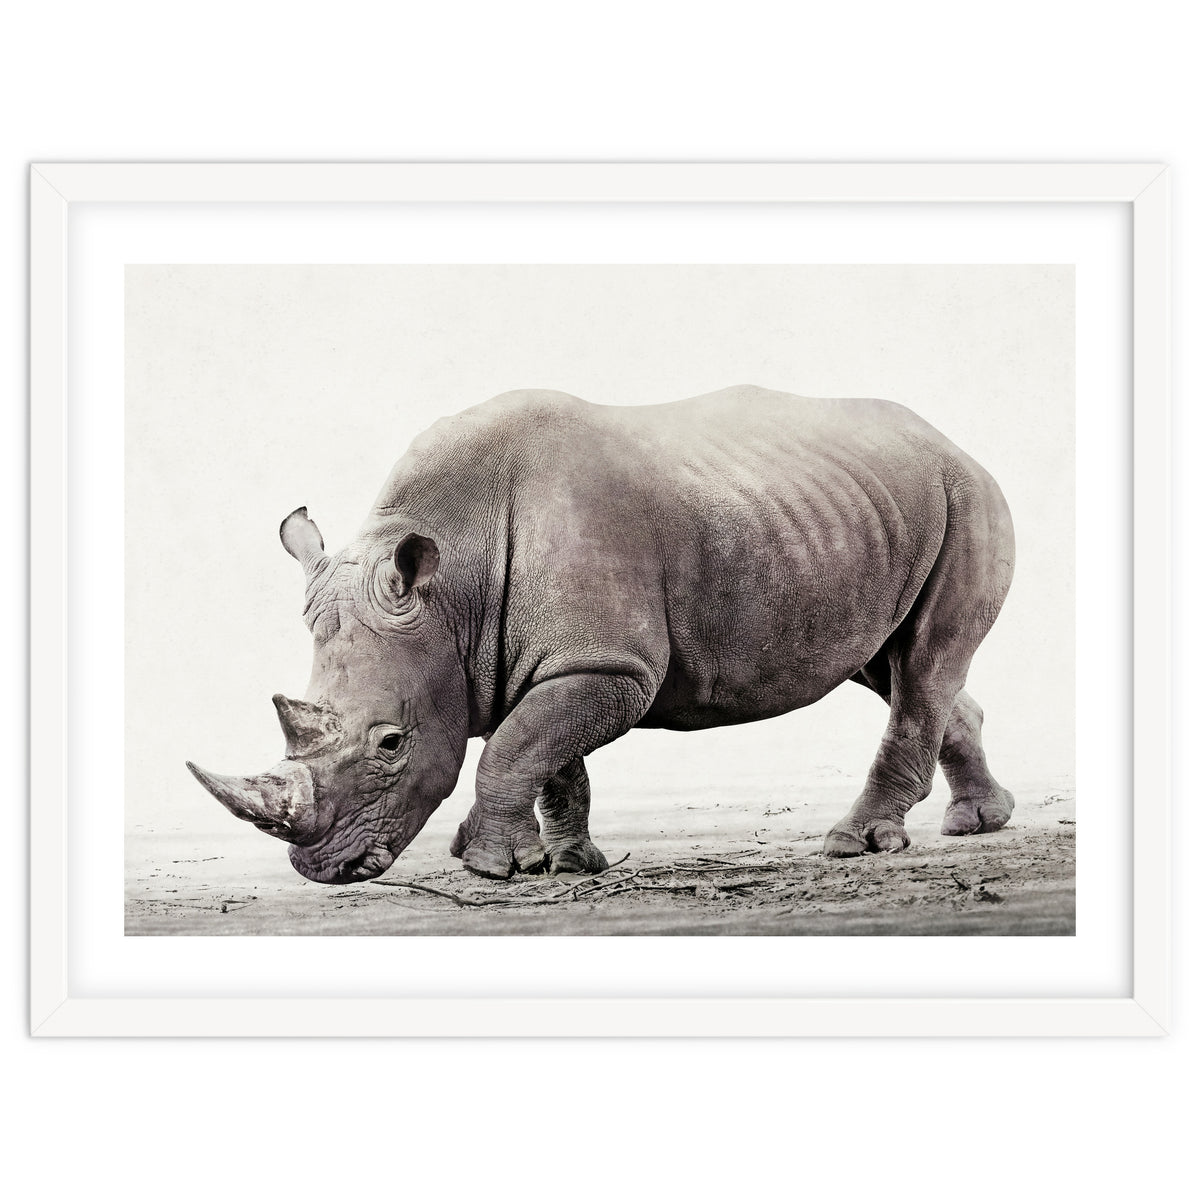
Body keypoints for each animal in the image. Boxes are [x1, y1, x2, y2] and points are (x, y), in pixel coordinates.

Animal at [187, 385, 1016, 884]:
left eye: (391, 743)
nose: (323, 869)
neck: (453, 586)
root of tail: (951, 440)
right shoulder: (557, 659)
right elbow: (550, 755)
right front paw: (567, 863)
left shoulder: (609, 664)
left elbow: (517, 747)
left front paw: (488, 868)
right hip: (861, 513)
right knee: (894, 666)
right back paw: (978, 823)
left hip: (967, 496)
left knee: (924, 663)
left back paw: (857, 844)